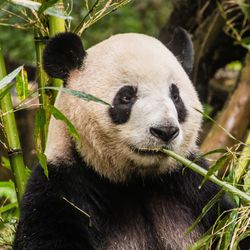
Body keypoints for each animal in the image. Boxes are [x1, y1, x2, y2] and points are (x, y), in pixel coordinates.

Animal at [13, 28, 233, 249]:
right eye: (126, 97)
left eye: (175, 96)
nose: (165, 131)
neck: (136, 181)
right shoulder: (62, 186)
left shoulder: (193, 185)